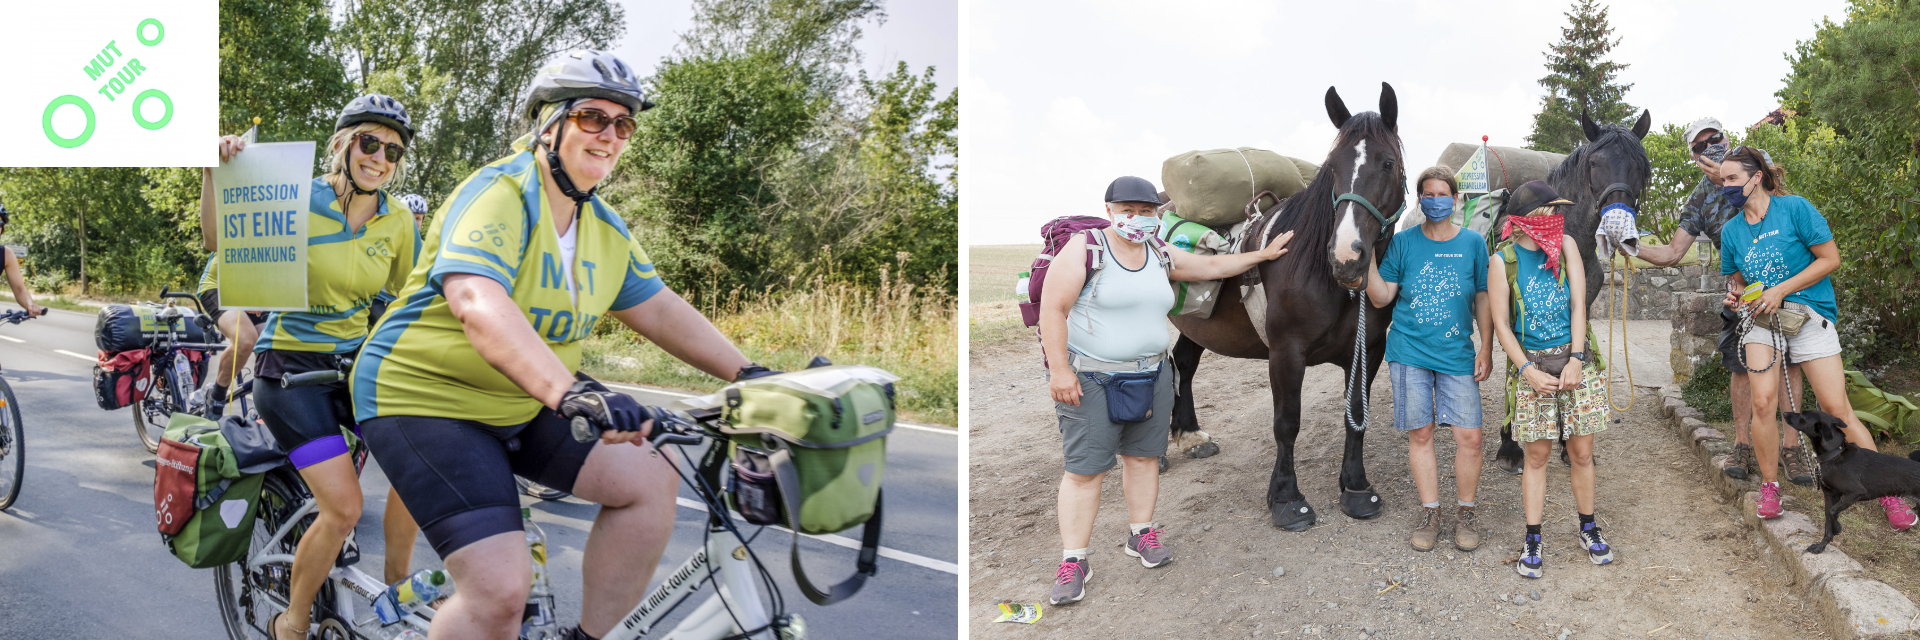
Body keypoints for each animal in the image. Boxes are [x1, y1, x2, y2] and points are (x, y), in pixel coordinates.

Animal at [1159, 83, 1405, 526]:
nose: (1346, 256)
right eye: (1331, 167)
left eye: (1388, 162)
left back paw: (1190, 435)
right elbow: (1287, 423)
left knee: (1183, 363)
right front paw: (1287, 497)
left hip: (1198, 327)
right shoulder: (1286, 352)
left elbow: (1356, 417)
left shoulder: (1369, 350)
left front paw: (1356, 487)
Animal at [1482, 107, 1651, 470]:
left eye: (1642, 165)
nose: (1616, 227)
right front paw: (1509, 444)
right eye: (1594, 163)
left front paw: (1565, 441)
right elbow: (1516, 369)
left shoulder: (1580, 309)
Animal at [1781, 409, 1920, 553]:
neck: (1833, 454)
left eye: (1802, 415)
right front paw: (1821, 546)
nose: (1784, 413)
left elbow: (1832, 512)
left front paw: (1837, 527)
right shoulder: (1830, 495)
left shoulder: (1855, 492)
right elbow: (1827, 520)